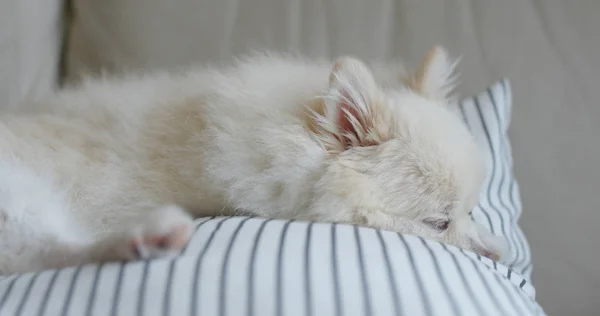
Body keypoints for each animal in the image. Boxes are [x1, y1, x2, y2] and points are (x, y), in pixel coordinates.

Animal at [0, 45, 506, 274]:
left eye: (469, 211)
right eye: (439, 224)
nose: (488, 255)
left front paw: (494, 239)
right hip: (20, 196)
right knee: (50, 250)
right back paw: (148, 235)